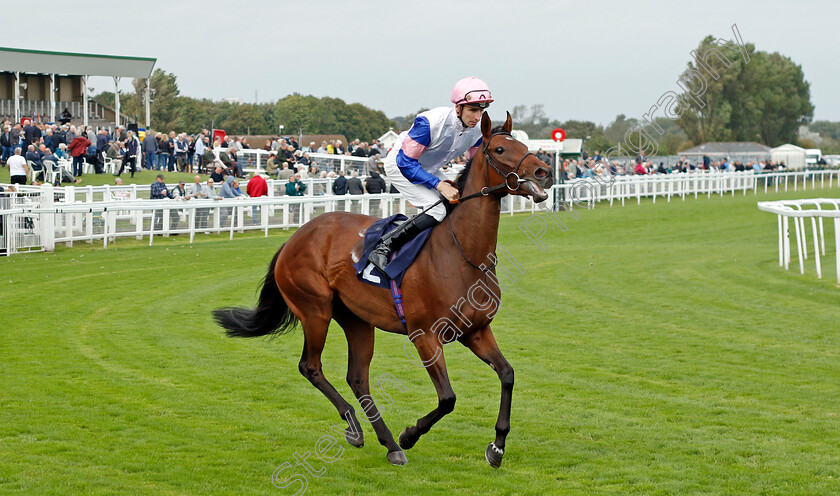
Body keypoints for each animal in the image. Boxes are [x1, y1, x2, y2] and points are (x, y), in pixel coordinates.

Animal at [212, 111, 552, 464]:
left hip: (357, 319)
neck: (461, 254)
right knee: (311, 367)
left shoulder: (476, 330)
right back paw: (362, 430)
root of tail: (294, 238)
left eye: (523, 144)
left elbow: (507, 374)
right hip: (315, 311)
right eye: (499, 149)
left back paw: (388, 444)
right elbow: (447, 398)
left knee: (357, 378)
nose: (544, 172)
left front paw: (497, 446)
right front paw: (410, 434)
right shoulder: (424, 336)